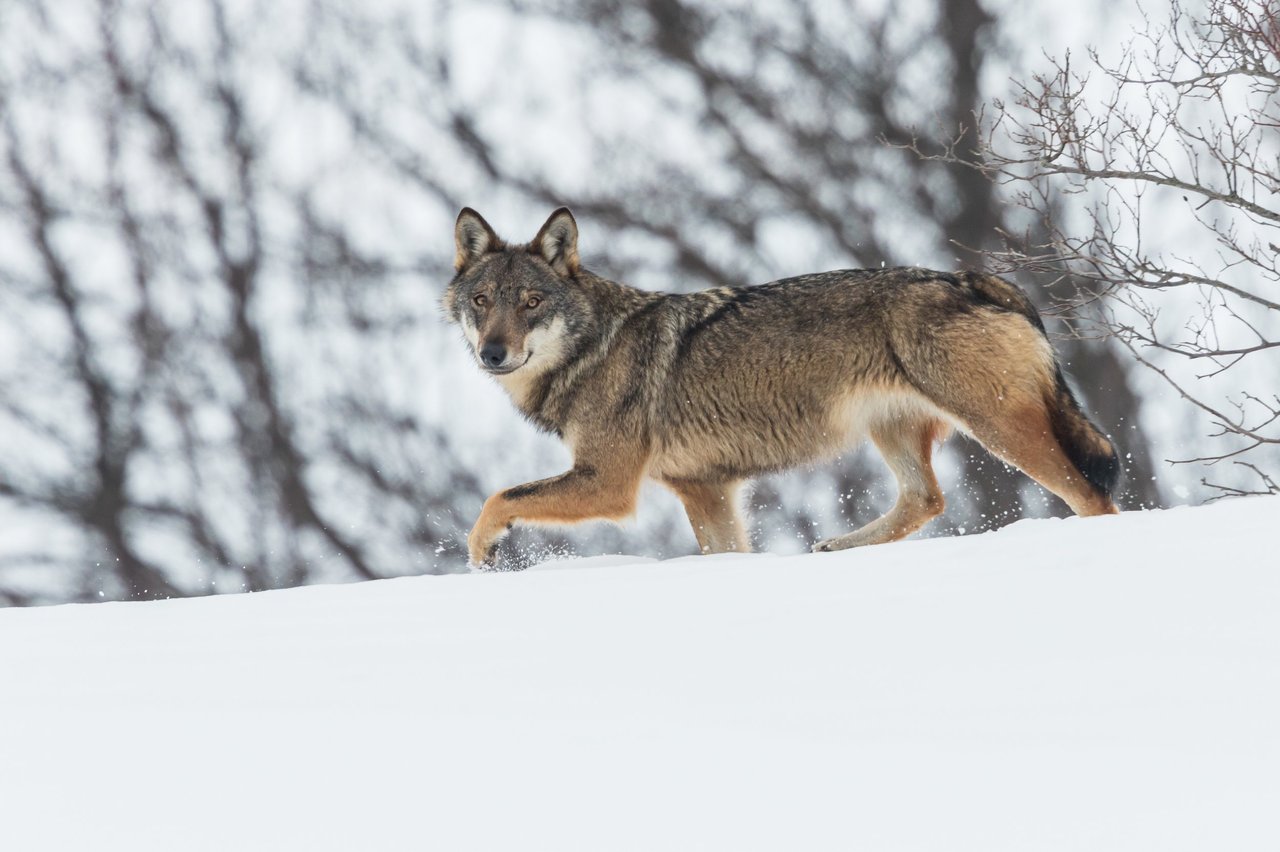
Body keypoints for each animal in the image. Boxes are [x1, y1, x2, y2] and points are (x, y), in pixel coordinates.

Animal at [444, 207, 1121, 567]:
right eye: (482, 302)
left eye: (531, 302)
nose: (493, 353)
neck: (592, 348)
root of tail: (977, 279)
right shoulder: (706, 490)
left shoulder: (608, 484)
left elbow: (499, 498)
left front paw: (481, 554)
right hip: (895, 432)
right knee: (926, 501)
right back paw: (835, 549)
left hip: (1000, 430)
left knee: (1092, 498)